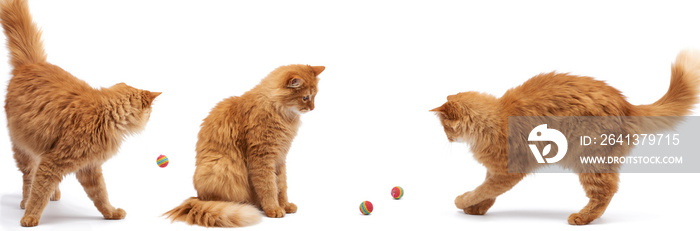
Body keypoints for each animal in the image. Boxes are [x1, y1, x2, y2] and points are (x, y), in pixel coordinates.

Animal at [0, 0, 160, 227]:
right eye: (149, 112)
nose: (151, 117)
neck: (105, 115)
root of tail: (31, 64)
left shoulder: (89, 168)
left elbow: (101, 196)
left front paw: (111, 213)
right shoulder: (55, 162)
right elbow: (38, 193)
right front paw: (30, 217)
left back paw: (53, 194)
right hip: (22, 148)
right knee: (29, 177)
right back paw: (25, 202)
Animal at [165, 64, 326, 227]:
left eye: (315, 96)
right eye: (305, 97)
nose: (312, 108)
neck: (279, 112)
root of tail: (198, 198)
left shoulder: (280, 159)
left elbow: (281, 186)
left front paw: (285, 206)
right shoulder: (262, 157)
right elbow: (269, 187)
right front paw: (273, 209)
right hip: (221, 167)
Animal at [432, 49, 700, 225]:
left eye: (445, 127)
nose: (446, 138)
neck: (495, 118)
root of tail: (627, 105)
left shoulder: (510, 169)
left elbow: (483, 189)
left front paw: (462, 200)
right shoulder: (497, 170)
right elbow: (487, 190)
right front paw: (477, 207)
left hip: (589, 160)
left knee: (606, 191)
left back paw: (582, 217)